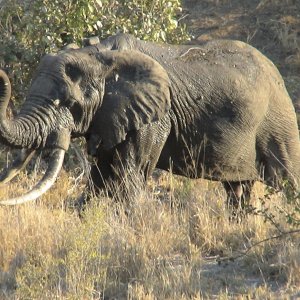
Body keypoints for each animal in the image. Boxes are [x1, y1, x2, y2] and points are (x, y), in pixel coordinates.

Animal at [0, 34, 300, 213]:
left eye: (67, 102)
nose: (3, 74)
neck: (100, 56)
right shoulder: (110, 116)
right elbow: (100, 175)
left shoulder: (155, 118)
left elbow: (130, 173)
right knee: (238, 187)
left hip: (278, 121)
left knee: (287, 179)